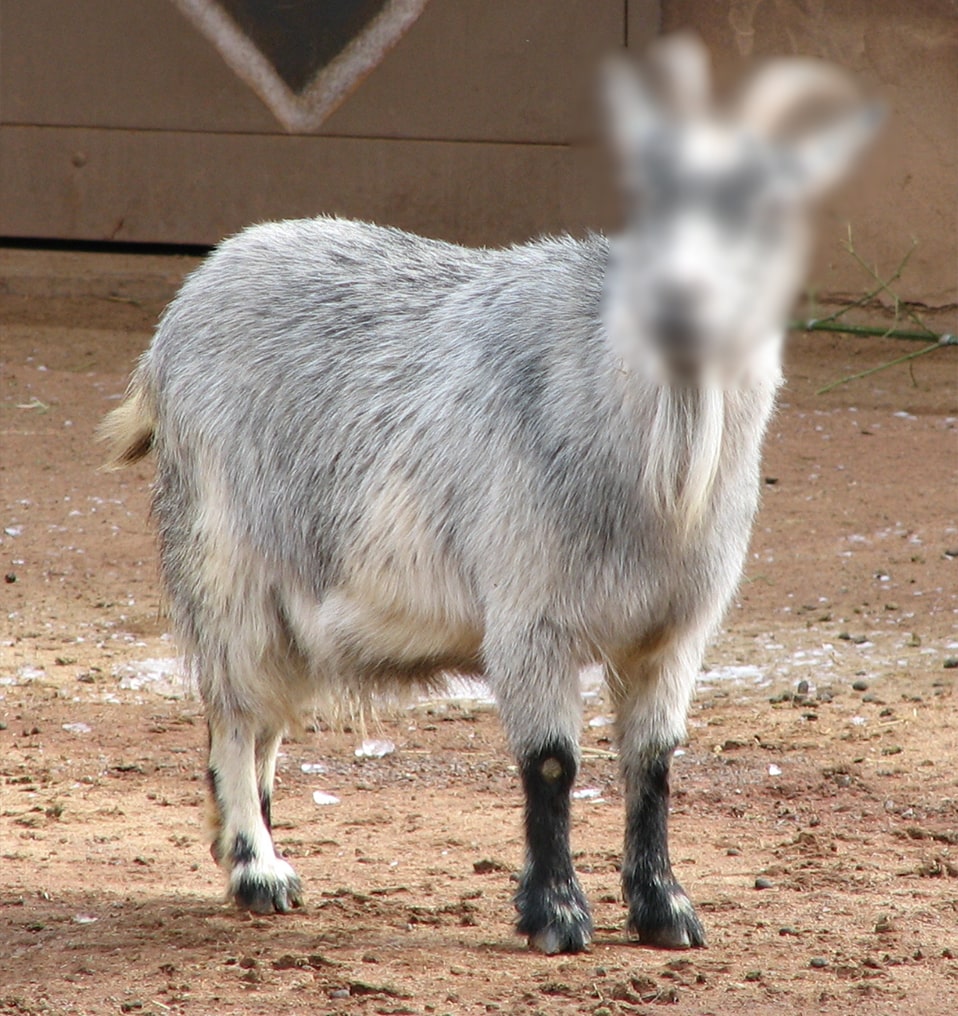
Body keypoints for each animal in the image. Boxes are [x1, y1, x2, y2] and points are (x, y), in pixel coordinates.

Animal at [99, 36, 878, 954]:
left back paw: (245, 844)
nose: (680, 301)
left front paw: (665, 910)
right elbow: (552, 763)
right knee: (232, 712)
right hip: (222, 558)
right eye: (647, 194)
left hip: (292, 598)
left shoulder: (674, 631)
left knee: (263, 721)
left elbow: (653, 763)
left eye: (766, 203)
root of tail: (179, 318)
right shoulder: (530, 614)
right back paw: (259, 870)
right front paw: (556, 918)